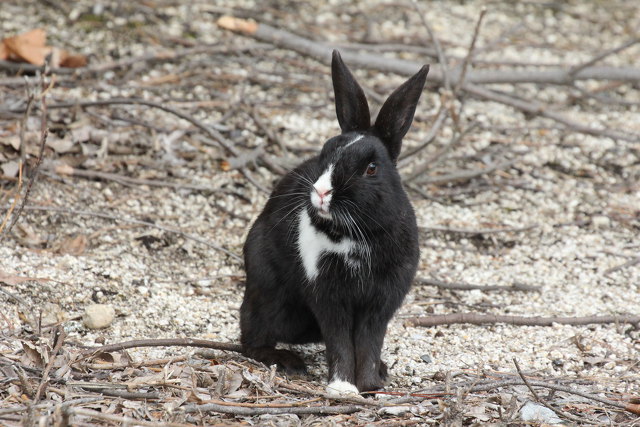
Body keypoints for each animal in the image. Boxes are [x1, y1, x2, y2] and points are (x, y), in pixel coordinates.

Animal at [240, 51, 430, 398]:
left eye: (371, 168)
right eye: (325, 153)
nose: (320, 192)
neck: (359, 235)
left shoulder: (381, 302)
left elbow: (369, 343)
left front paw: (371, 386)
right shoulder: (329, 295)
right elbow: (340, 340)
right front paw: (343, 387)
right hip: (267, 293)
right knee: (251, 339)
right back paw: (287, 360)